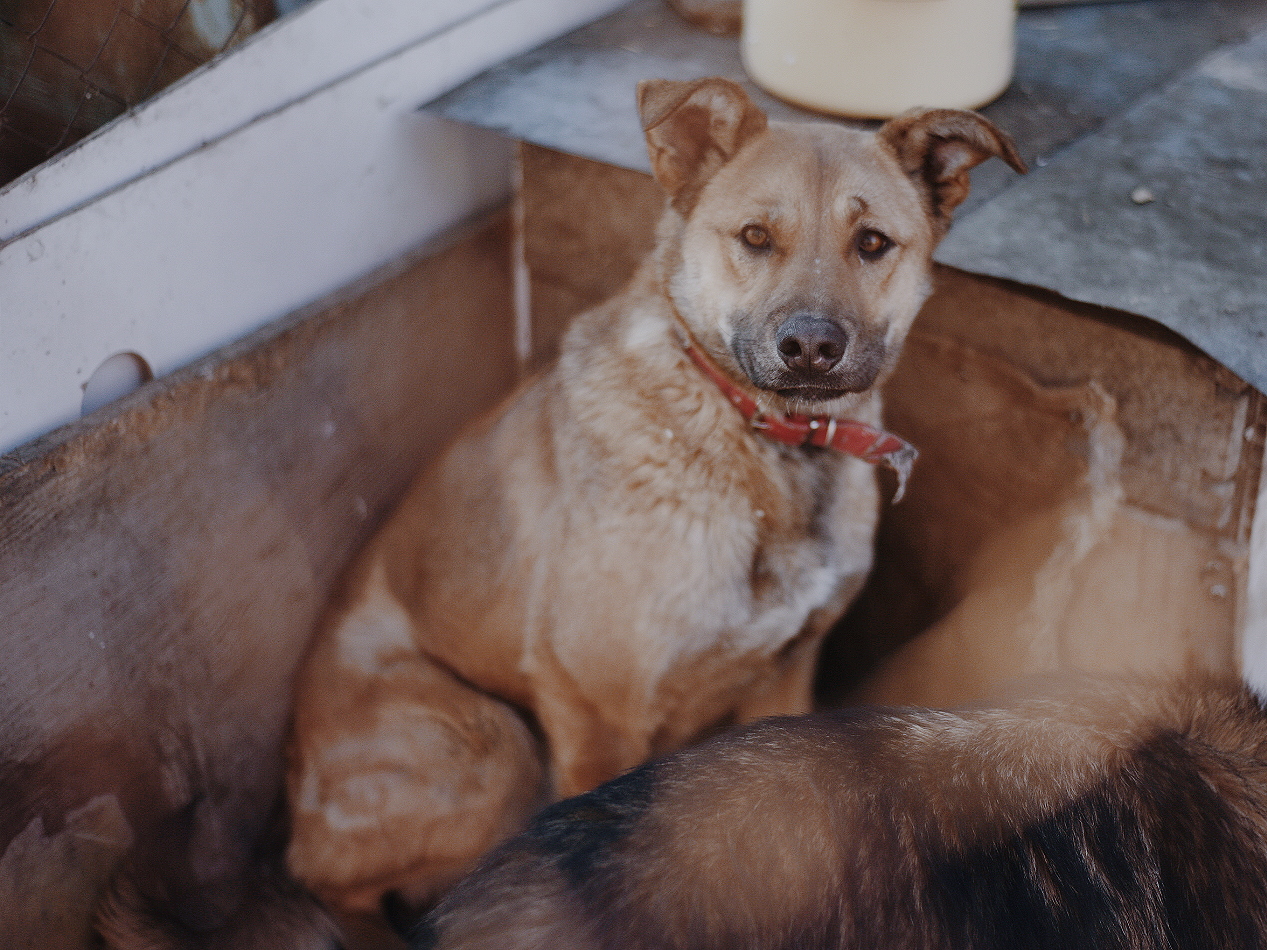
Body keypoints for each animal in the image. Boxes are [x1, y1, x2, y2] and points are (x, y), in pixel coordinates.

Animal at [282, 76, 1023, 917]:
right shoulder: (592, 707)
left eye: (871, 243)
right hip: (492, 744)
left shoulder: (785, 677)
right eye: (755, 237)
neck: (761, 449)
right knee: (344, 889)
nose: (809, 347)